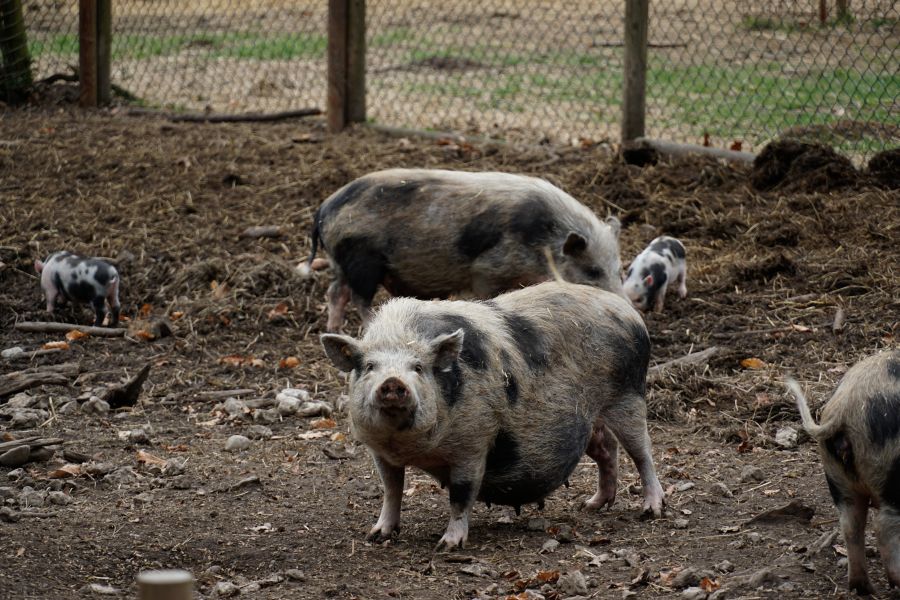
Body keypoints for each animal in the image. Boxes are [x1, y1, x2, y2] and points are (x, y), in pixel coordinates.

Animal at [299, 168, 624, 331]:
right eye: (592, 270)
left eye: (619, 270)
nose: (625, 305)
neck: (544, 242)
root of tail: (324, 209)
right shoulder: (487, 270)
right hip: (361, 259)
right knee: (359, 298)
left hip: (340, 261)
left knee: (335, 293)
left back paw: (334, 331)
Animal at [321, 280, 665, 549]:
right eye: (369, 367)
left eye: (418, 367)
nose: (393, 383)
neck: (411, 446)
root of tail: (628, 312)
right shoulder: (380, 451)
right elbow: (391, 490)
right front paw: (376, 535)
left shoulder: (473, 442)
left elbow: (461, 495)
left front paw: (448, 545)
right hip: (589, 417)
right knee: (607, 448)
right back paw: (591, 505)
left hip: (628, 395)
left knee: (642, 452)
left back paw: (651, 511)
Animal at [786, 350, 900, 595]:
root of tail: (845, 406)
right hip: (895, 474)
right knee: (883, 526)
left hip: (836, 476)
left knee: (850, 524)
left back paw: (862, 588)